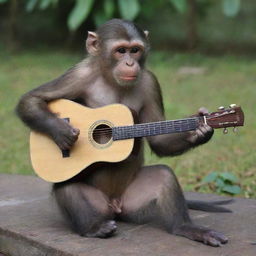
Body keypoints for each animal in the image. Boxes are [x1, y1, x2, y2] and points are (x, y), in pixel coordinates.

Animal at [15, 19, 228, 247]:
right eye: (120, 51)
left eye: (135, 50)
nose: (129, 63)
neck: (111, 79)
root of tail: (115, 206)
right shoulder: (79, 74)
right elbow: (32, 99)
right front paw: (62, 132)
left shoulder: (150, 81)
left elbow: (159, 140)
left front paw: (202, 128)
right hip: (99, 205)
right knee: (67, 185)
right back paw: (94, 227)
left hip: (132, 204)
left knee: (164, 176)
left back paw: (187, 228)